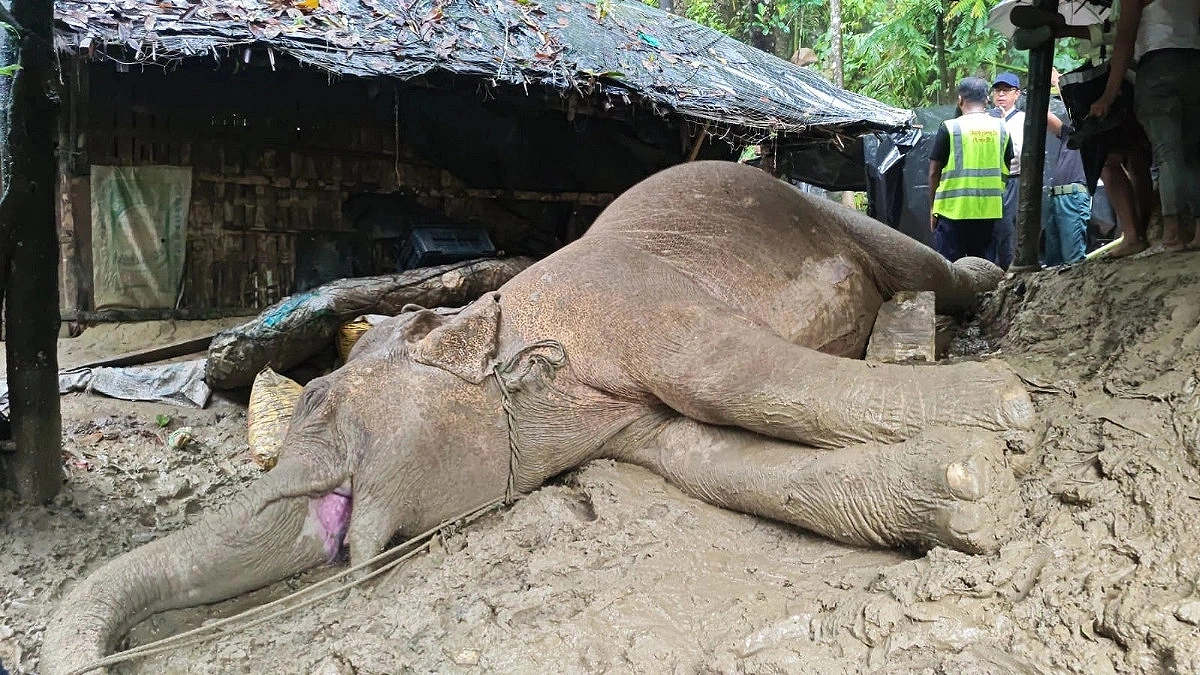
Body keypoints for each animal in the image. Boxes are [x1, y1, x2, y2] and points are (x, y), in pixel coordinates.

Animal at [44, 160, 1032, 674]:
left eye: (319, 400)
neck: (515, 326)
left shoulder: (640, 298)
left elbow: (733, 376)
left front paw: (1010, 410)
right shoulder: (625, 420)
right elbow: (709, 455)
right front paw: (970, 493)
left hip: (827, 215)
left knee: (915, 262)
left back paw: (986, 285)